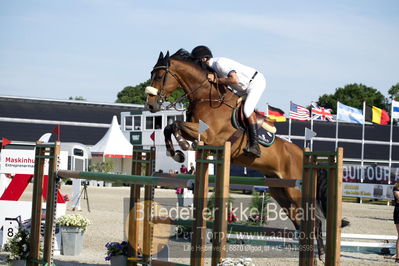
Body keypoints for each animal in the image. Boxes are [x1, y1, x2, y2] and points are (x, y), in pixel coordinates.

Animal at [146, 48, 346, 260]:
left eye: (159, 75)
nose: (150, 105)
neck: (206, 97)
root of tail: (305, 155)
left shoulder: (209, 136)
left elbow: (175, 124)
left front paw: (181, 148)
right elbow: (169, 127)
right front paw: (177, 152)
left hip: (296, 192)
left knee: (315, 222)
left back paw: (321, 254)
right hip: (281, 192)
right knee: (302, 222)